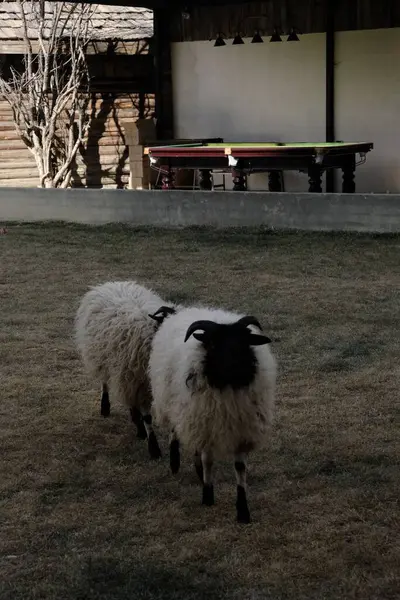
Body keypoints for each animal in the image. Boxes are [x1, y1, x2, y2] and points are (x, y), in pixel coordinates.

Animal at [75, 282, 175, 460]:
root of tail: (110, 283)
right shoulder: (137, 381)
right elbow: (147, 417)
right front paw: (153, 447)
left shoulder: (142, 383)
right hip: (105, 359)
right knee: (105, 382)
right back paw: (105, 407)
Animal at [148, 308, 276, 524]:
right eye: (214, 344)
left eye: (245, 341)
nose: (237, 366)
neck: (228, 385)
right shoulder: (207, 425)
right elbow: (208, 459)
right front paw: (207, 495)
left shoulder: (241, 429)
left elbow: (240, 467)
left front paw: (243, 511)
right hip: (176, 402)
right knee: (175, 429)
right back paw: (175, 462)